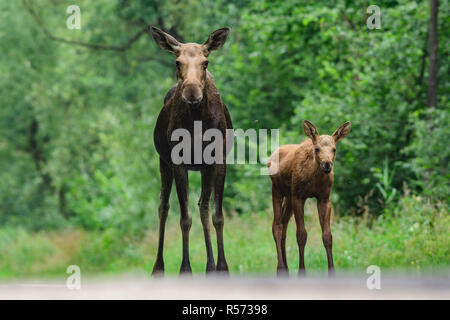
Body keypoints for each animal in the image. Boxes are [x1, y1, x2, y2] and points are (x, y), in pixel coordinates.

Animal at [151, 26, 234, 276]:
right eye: (177, 62)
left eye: (205, 62)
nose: (192, 92)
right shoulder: (178, 161)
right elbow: (184, 218)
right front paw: (185, 269)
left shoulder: (218, 160)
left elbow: (217, 215)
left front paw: (221, 267)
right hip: (164, 162)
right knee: (164, 207)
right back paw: (158, 268)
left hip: (202, 167)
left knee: (203, 206)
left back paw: (210, 265)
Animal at [268, 120, 352, 276]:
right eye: (317, 149)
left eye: (334, 149)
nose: (327, 164)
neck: (315, 179)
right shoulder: (299, 197)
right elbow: (301, 235)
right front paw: (302, 272)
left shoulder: (324, 199)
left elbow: (327, 236)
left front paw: (332, 272)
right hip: (277, 191)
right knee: (277, 225)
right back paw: (281, 268)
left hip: (289, 196)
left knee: (284, 225)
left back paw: (286, 268)